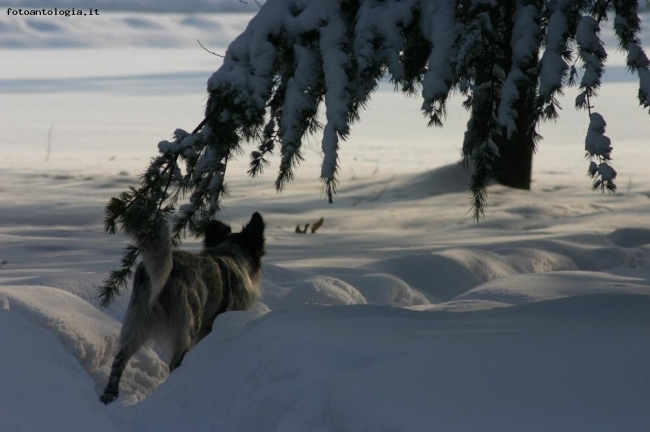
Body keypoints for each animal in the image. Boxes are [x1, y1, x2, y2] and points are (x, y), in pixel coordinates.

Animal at [101, 213, 264, 404]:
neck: (232, 255)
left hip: (137, 324)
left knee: (119, 360)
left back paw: (110, 395)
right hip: (189, 327)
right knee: (175, 364)